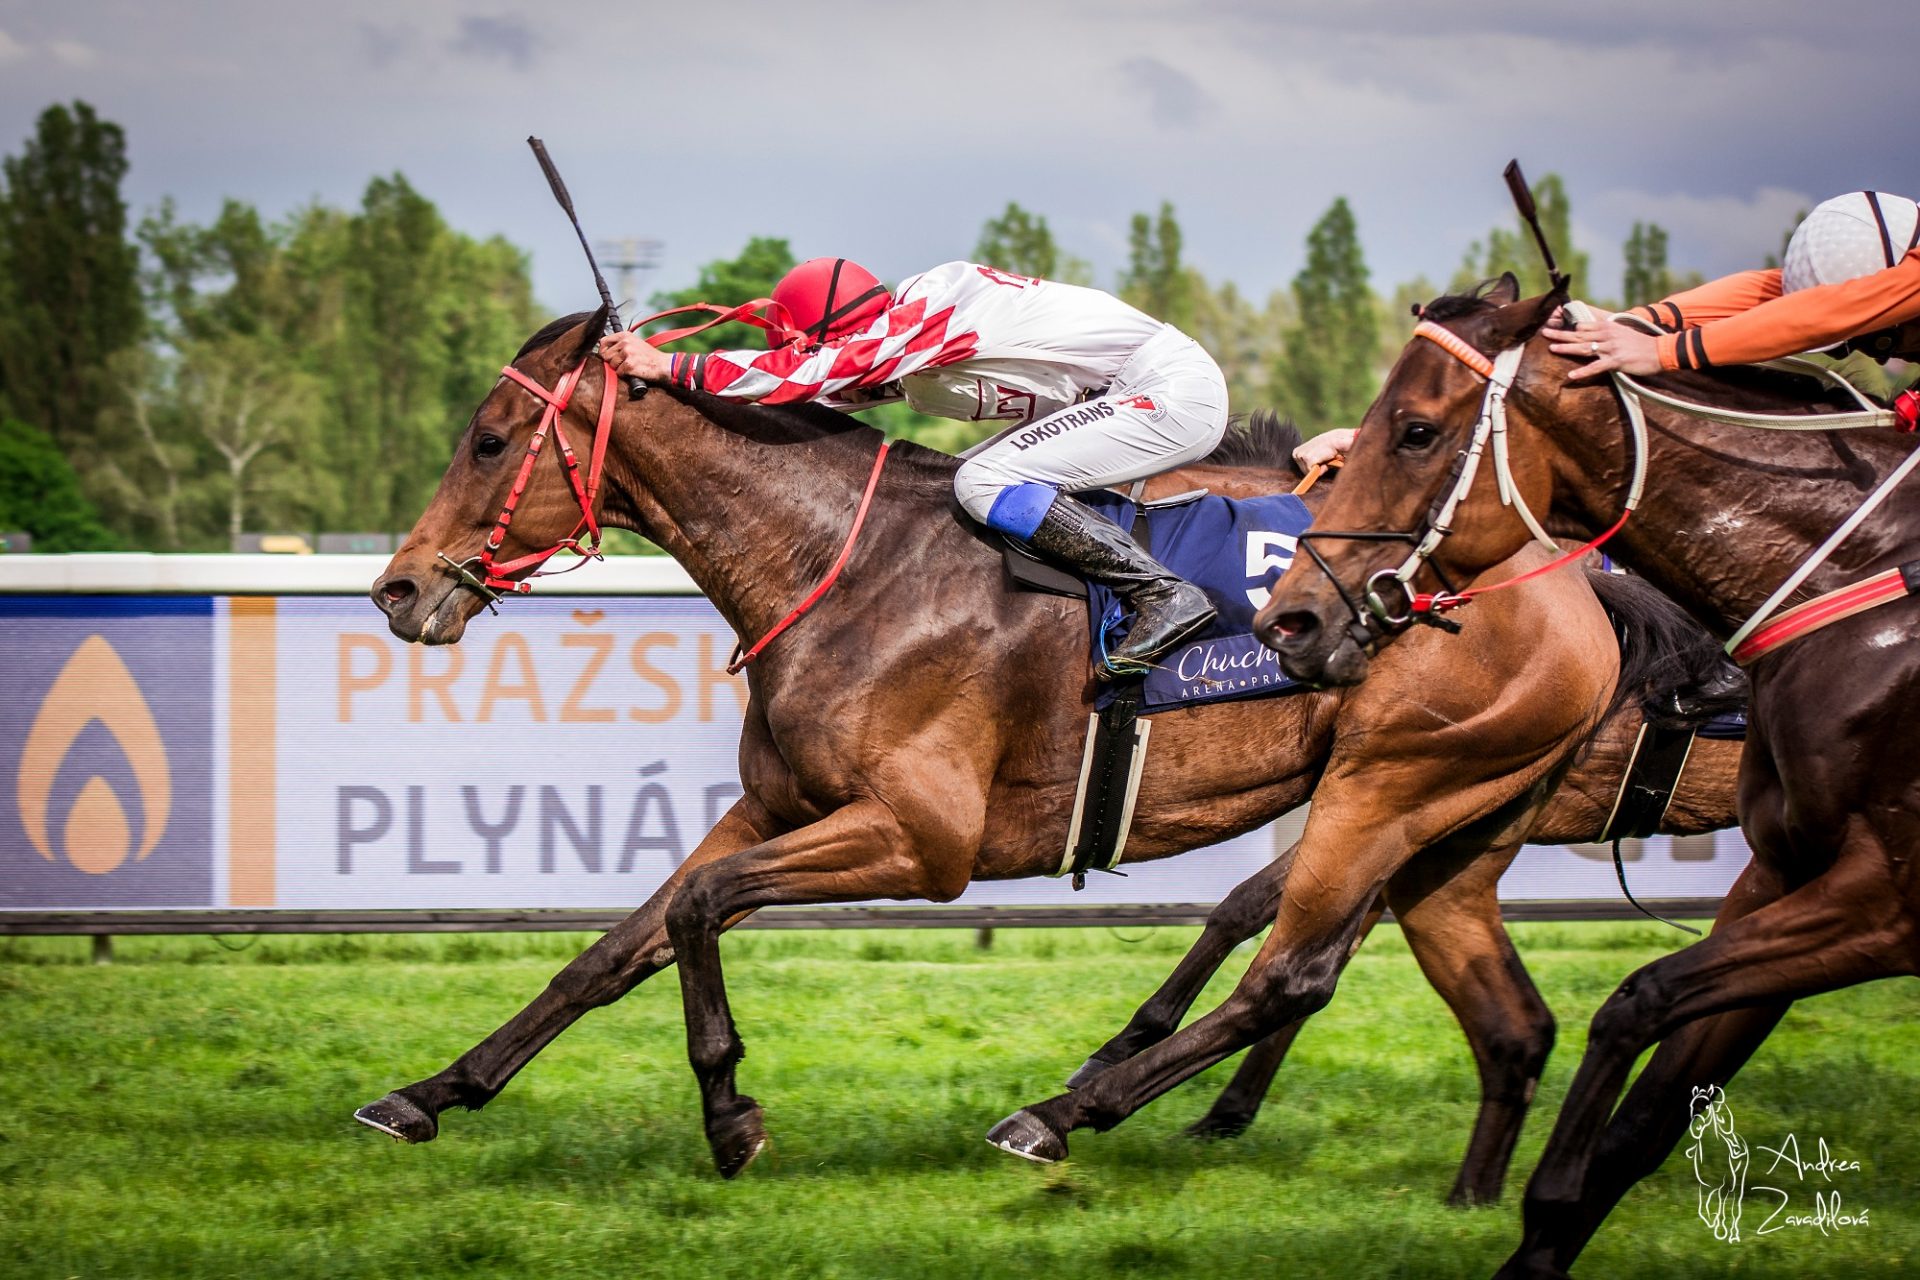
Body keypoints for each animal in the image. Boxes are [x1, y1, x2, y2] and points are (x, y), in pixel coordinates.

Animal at [360, 310, 1697, 1189]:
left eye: (488, 440)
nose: (397, 588)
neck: (845, 564)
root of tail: (1563, 575)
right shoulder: (779, 806)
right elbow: (618, 944)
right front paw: (429, 1091)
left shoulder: (923, 838)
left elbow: (696, 910)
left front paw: (731, 1113)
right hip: (1459, 827)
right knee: (1496, 1015)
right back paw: (1467, 1193)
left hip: (1393, 786)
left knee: (1294, 971)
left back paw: (1062, 1111)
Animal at [1251, 276, 1920, 1274]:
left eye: (1416, 430)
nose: (1290, 621)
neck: (1860, 579)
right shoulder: (1782, 872)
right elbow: (1654, 1097)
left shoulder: (1887, 900)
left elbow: (1637, 1001)